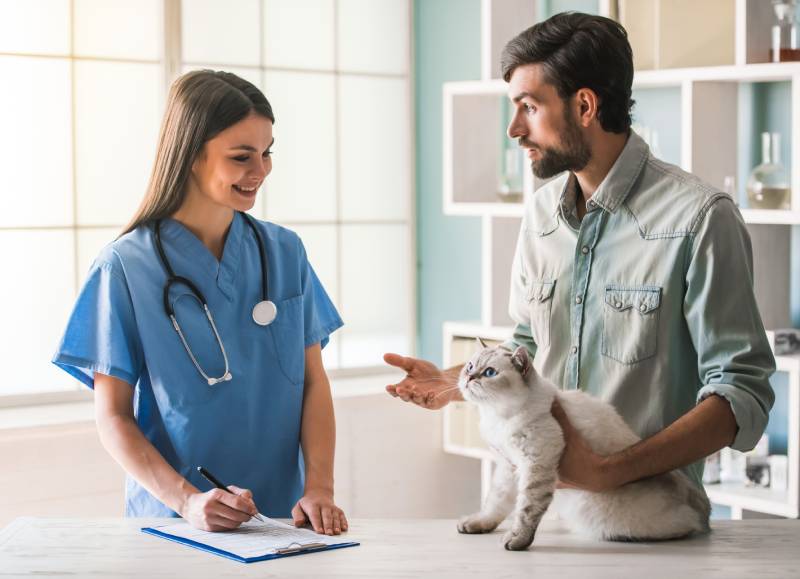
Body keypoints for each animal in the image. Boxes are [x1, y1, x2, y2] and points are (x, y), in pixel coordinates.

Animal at [456, 342, 712, 552]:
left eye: (490, 373)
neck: (497, 416)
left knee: (688, 526)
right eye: (470, 366)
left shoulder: (535, 464)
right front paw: (477, 524)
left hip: (603, 516)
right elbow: (496, 501)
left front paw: (517, 540)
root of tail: (693, 497)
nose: (469, 378)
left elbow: (526, 509)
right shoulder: (509, 466)